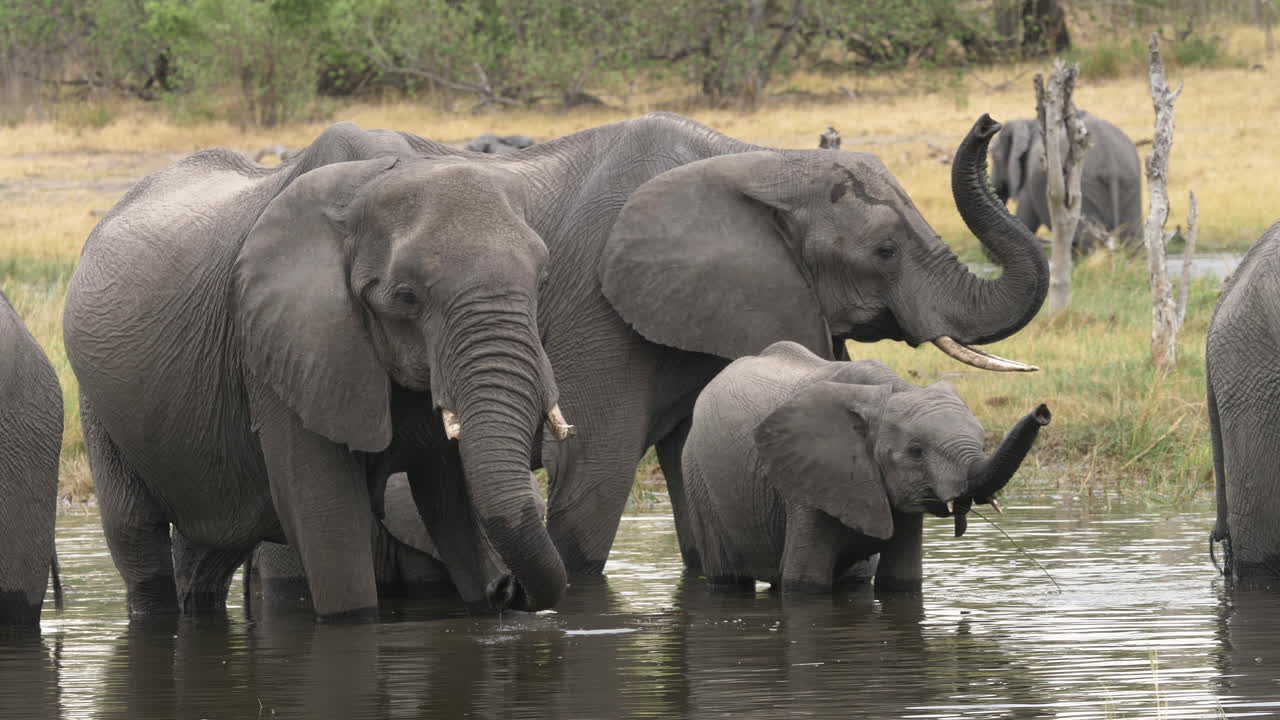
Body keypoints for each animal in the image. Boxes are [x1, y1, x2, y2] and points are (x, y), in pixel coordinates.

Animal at [64, 126, 575, 619]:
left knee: (207, 553)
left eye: (543, 281)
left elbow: (449, 504)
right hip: (98, 405)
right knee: (137, 537)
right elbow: (328, 522)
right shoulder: (278, 348)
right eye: (406, 297)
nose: (506, 589)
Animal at [681, 342, 1051, 592]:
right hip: (696, 477)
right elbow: (805, 581)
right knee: (728, 580)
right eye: (916, 452)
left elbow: (901, 579)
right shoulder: (808, 482)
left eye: (982, 439)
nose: (1043, 411)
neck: (888, 391)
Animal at [990, 111, 1142, 253]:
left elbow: (1025, 218)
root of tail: (1111, 162)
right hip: (1130, 183)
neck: (1029, 123)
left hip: (1083, 185)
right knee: (1132, 236)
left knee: (1087, 240)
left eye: (994, 156)